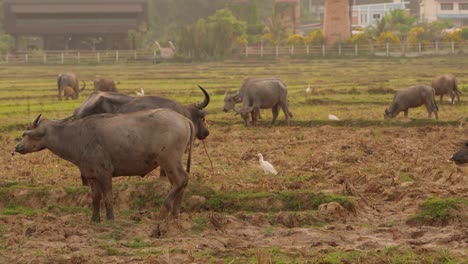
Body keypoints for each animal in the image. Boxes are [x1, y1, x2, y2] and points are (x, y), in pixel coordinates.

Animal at [14, 109, 194, 227]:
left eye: (29, 134)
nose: (18, 147)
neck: (76, 137)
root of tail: (183, 119)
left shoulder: (105, 174)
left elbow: (108, 197)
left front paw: (110, 219)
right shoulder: (92, 176)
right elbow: (95, 198)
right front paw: (94, 219)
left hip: (169, 160)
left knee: (181, 180)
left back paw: (163, 212)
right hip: (170, 163)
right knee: (180, 183)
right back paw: (175, 215)